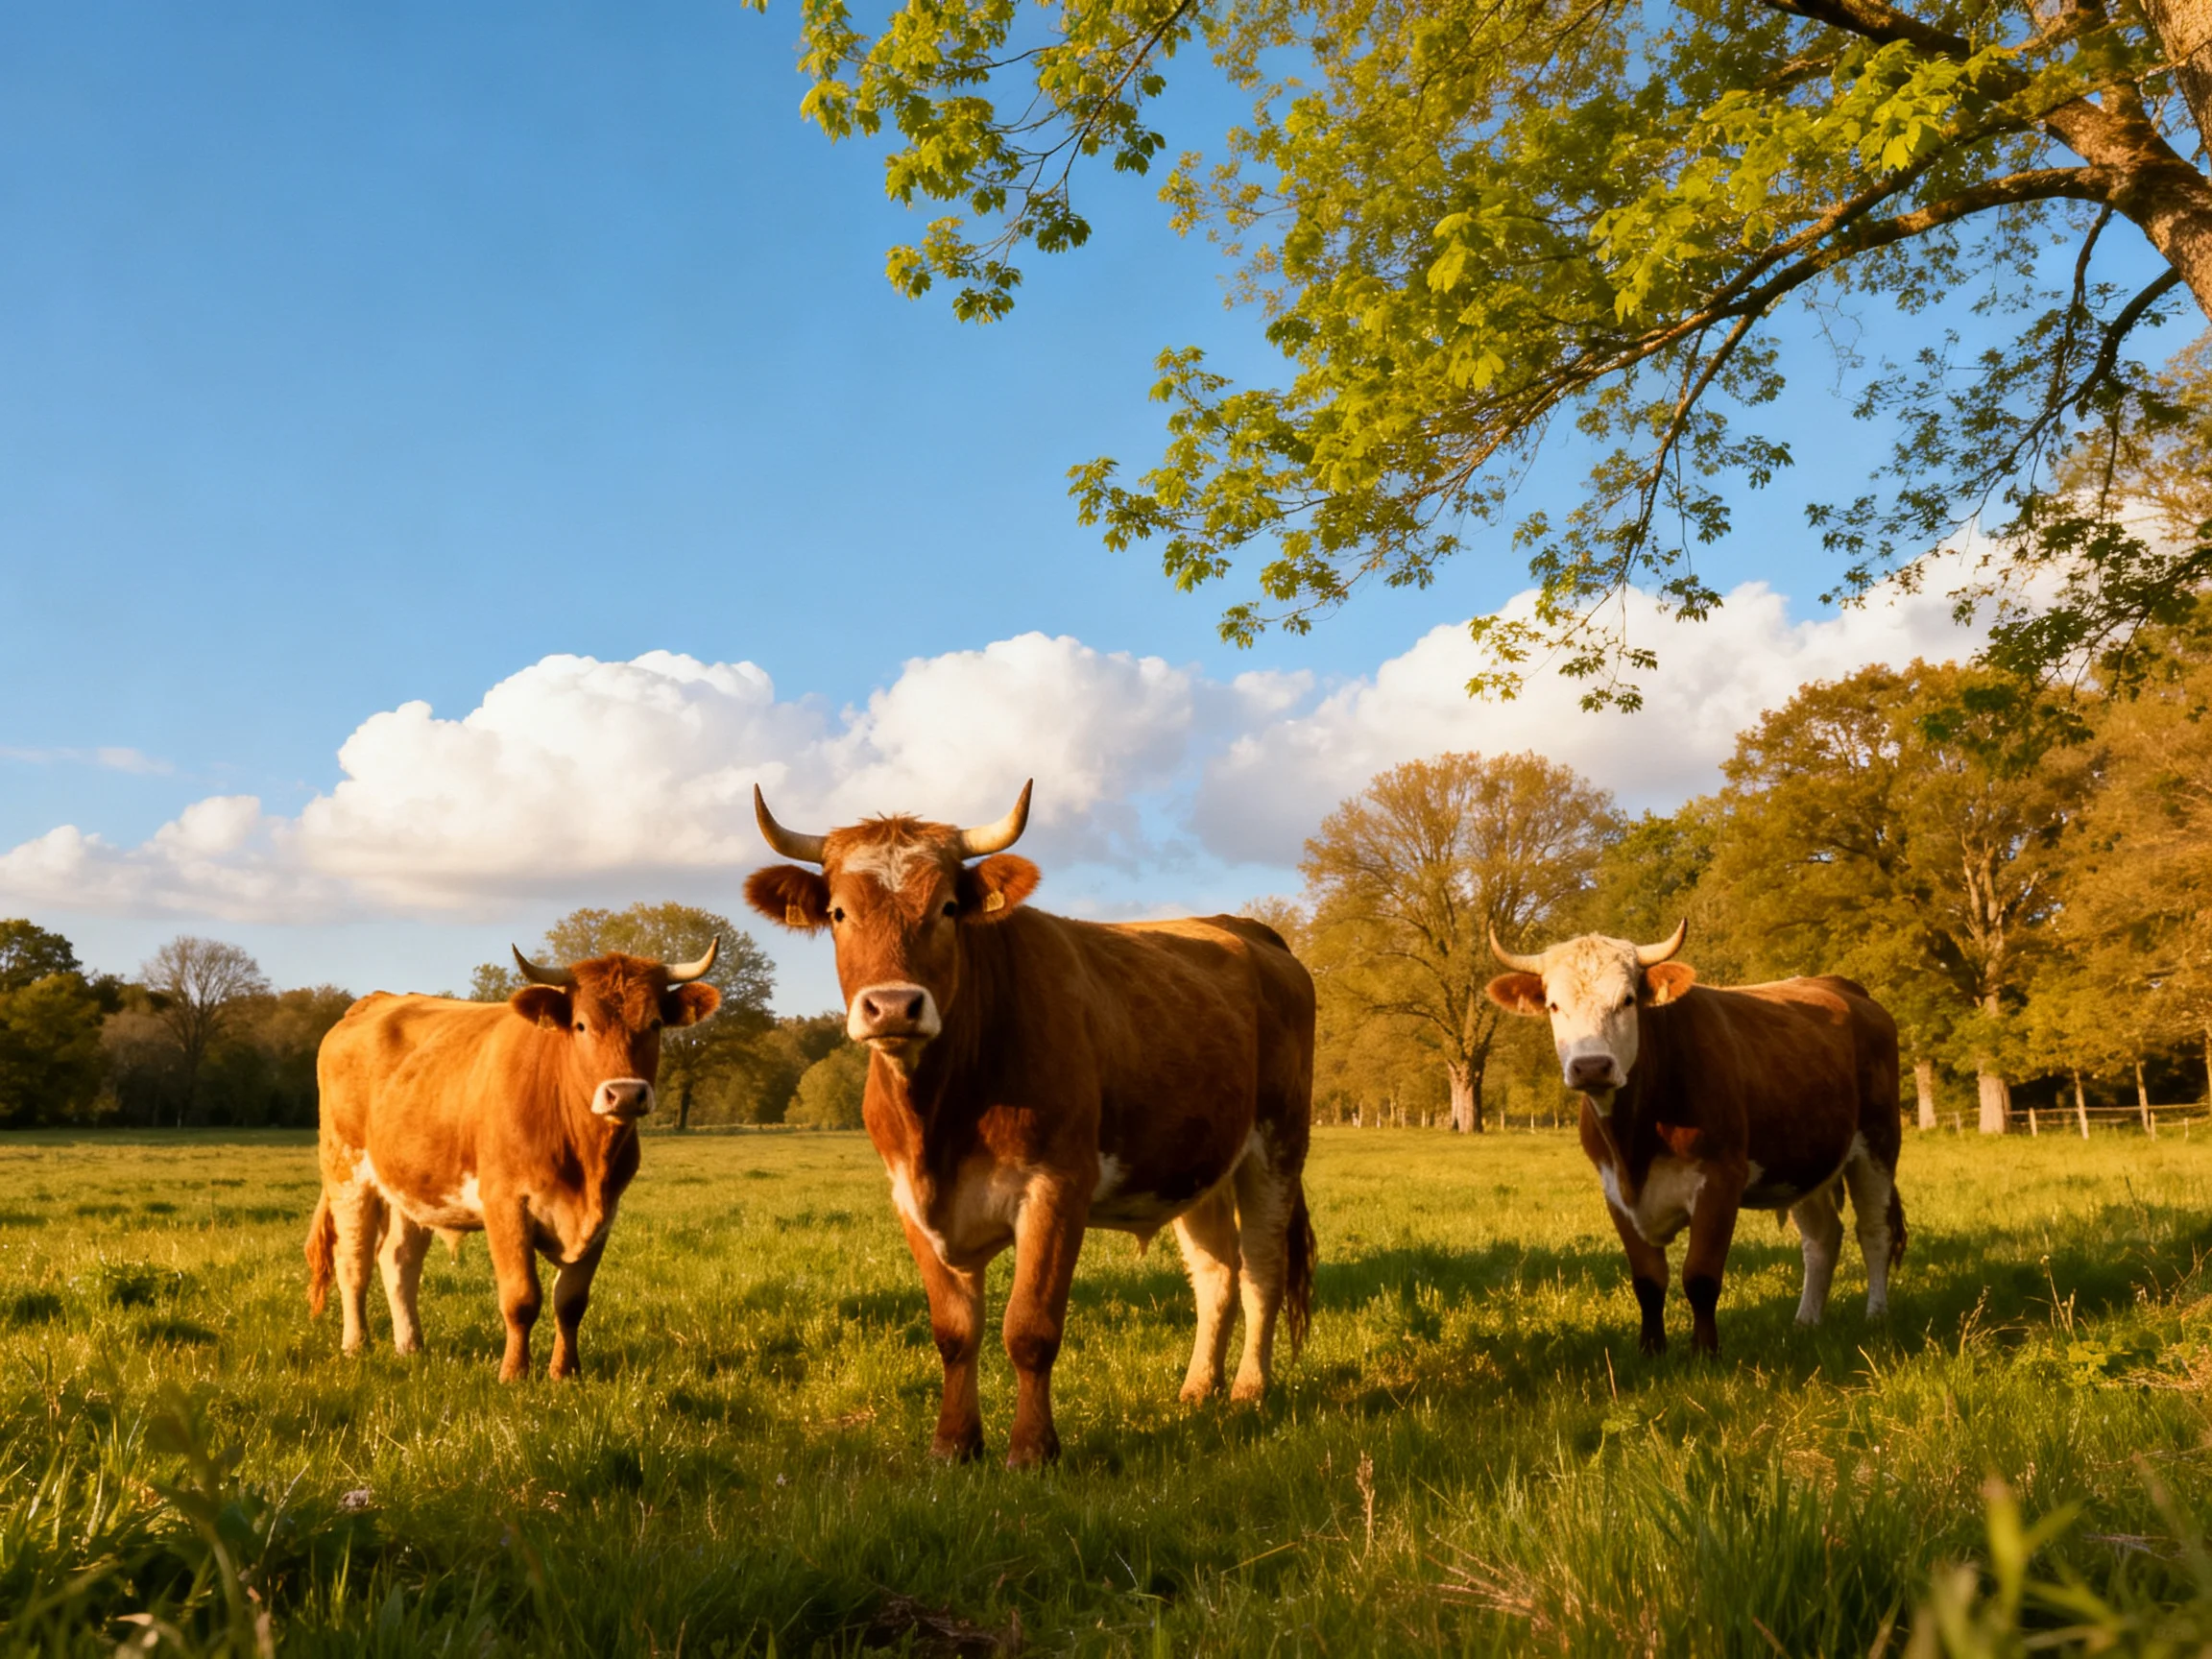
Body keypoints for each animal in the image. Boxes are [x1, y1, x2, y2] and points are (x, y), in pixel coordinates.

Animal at [305, 943, 722, 1380]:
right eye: (581, 1025)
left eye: (655, 1023)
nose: (624, 1094)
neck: (586, 1159)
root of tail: (374, 1002)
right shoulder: (505, 1204)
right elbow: (521, 1298)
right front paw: (514, 1373)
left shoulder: (605, 1213)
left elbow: (571, 1301)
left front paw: (565, 1372)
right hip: (346, 1174)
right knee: (353, 1263)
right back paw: (356, 1345)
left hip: (411, 1186)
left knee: (398, 1261)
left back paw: (411, 1347)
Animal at [744, 781, 1316, 1468]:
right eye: (837, 912)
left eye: (947, 907)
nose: (893, 1006)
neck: (940, 1116)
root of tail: (1248, 929)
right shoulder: (911, 1199)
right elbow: (954, 1331)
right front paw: (954, 1443)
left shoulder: (1056, 1186)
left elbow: (1030, 1328)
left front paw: (1033, 1449)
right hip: (1196, 1164)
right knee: (1216, 1276)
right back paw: (1197, 1390)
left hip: (1278, 1145)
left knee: (1262, 1270)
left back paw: (1249, 1391)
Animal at [1485, 922, 1903, 1356]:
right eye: (1554, 1006)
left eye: (1628, 1000)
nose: (1591, 1066)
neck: (1636, 1143)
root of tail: (1845, 988)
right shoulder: (1615, 1191)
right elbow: (1648, 1281)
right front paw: (1651, 1350)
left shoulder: (1720, 1179)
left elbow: (1700, 1277)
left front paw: (1705, 1353)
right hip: (1803, 1161)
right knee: (1822, 1238)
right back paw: (1805, 1322)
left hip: (1878, 1144)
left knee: (1875, 1230)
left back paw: (1876, 1316)